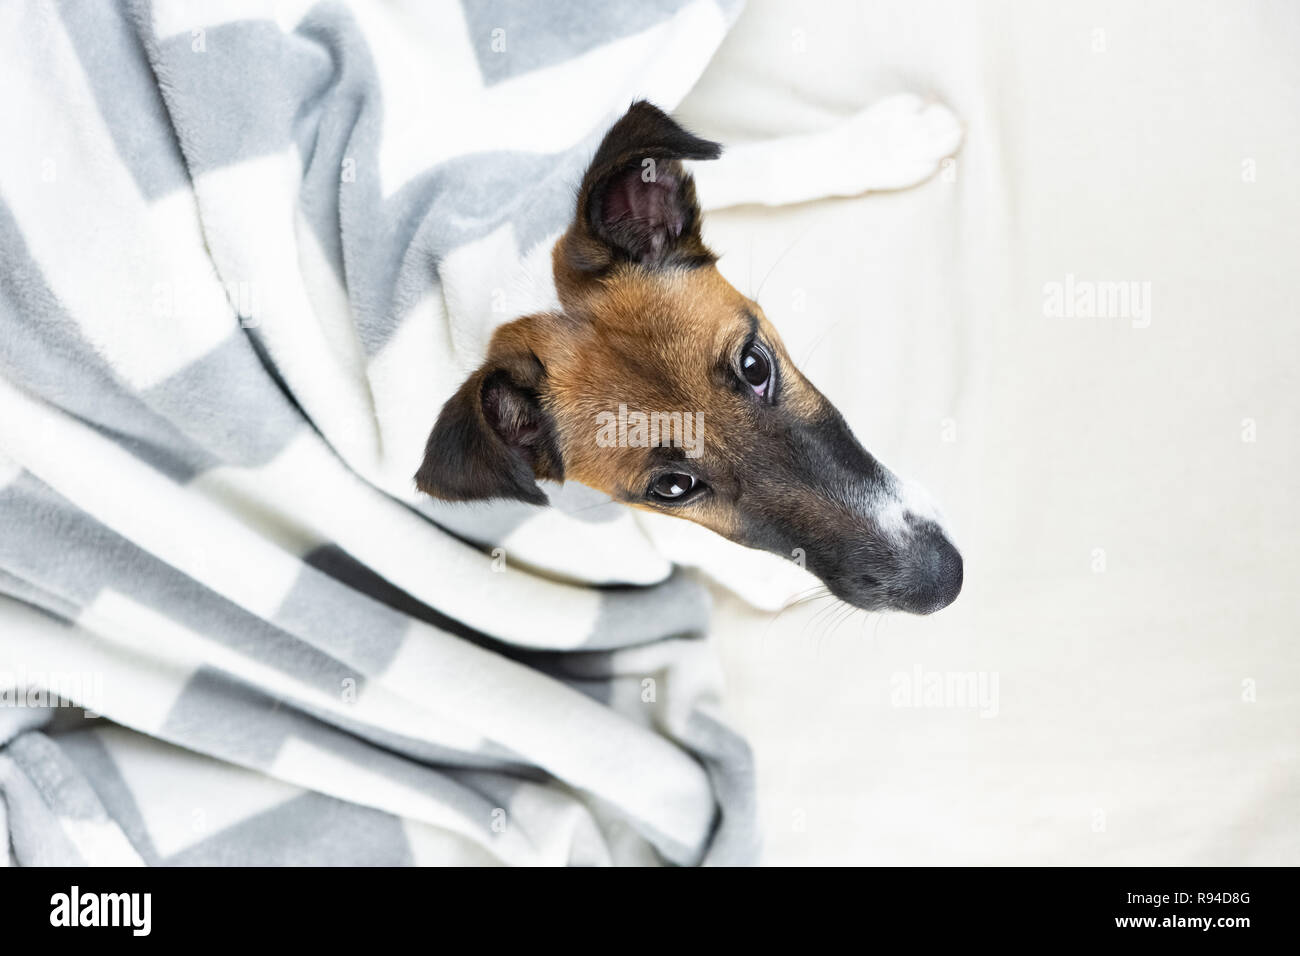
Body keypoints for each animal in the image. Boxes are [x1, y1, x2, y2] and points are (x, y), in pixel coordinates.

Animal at [416, 100, 967, 616]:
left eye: (755, 366)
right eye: (673, 487)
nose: (942, 581)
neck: (514, 288)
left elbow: (740, 163)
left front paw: (883, 140)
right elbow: (668, 537)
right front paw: (771, 578)